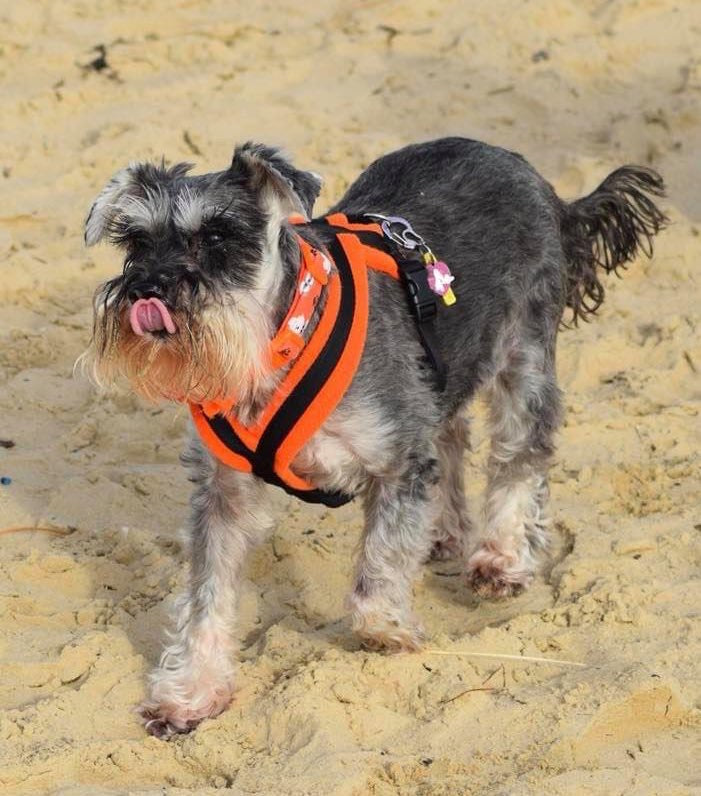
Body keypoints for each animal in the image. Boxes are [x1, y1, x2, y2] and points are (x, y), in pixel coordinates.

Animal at [79, 135, 664, 732]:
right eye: (136, 241)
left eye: (218, 235)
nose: (146, 289)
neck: (275, 348)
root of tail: (529, 172)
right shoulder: (224, 492)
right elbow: (206, 596)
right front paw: (191, 692)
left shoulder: (399, 459)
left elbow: (378, 564)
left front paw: (387, 628)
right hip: (442, 370)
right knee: (451, 435)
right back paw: (444, 531)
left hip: (522, 354)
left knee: (520, 453)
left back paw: (501, 557)